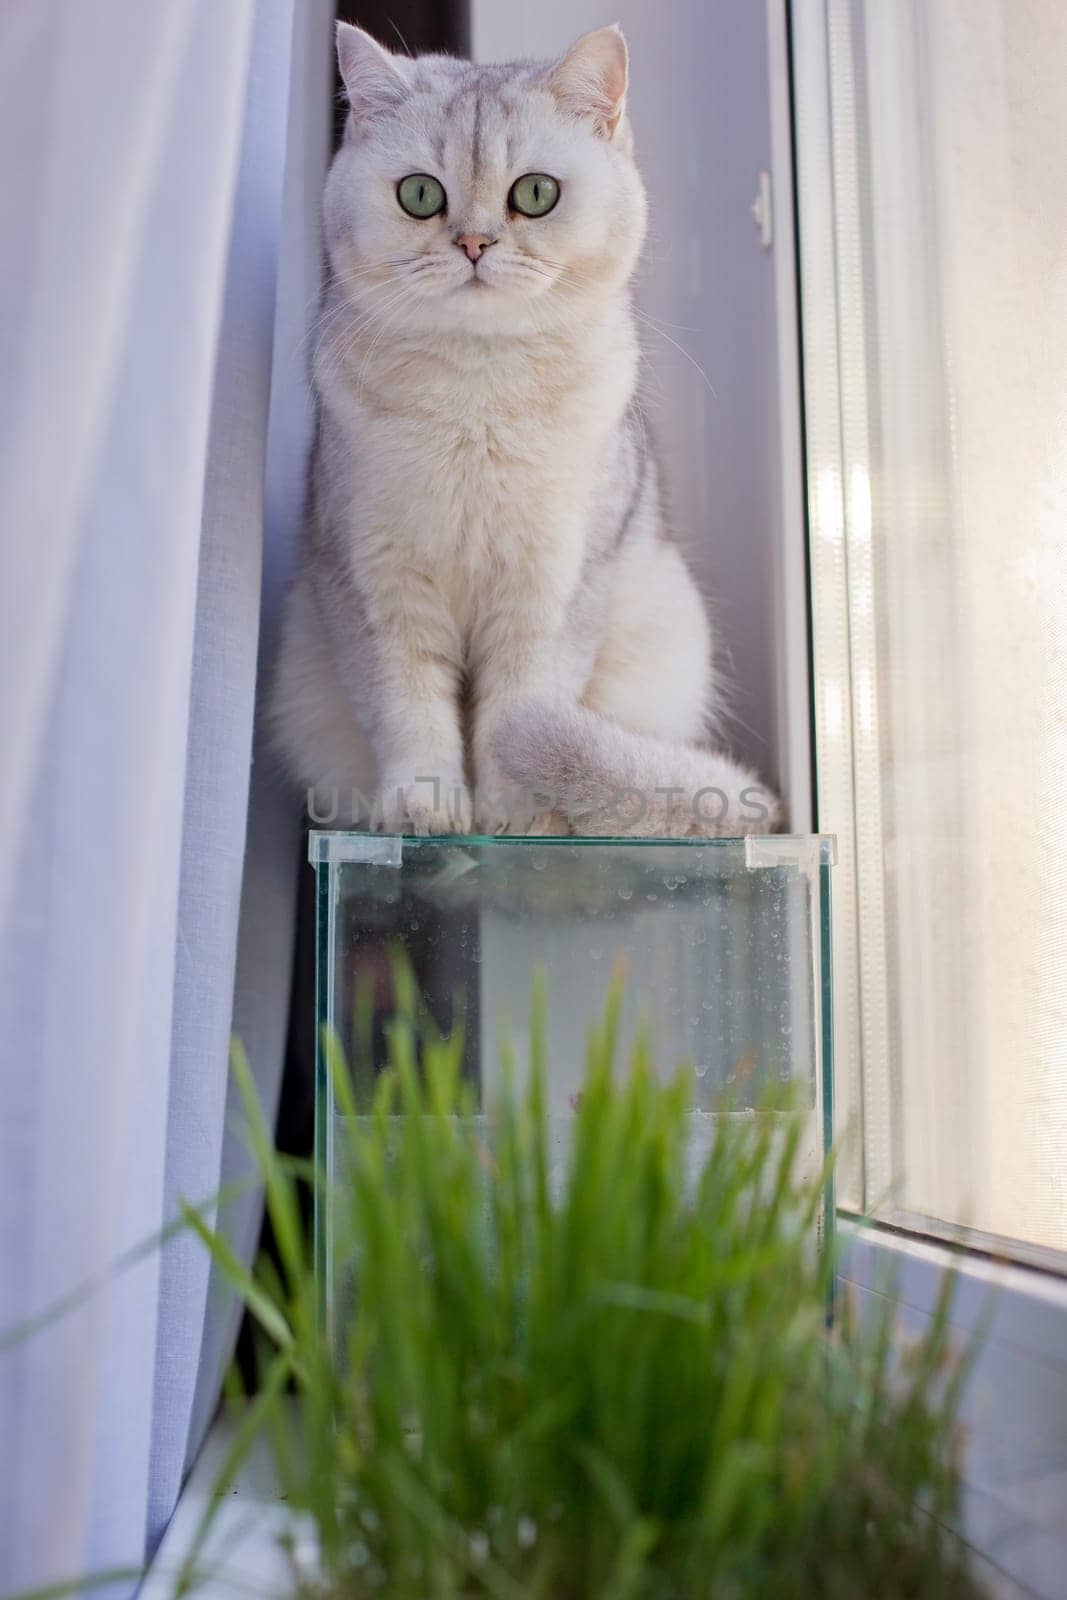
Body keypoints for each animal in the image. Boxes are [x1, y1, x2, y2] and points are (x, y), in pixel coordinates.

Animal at [271, 21, 780, 838]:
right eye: (420, 195)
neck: (477, 394)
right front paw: (425, 809)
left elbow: (518, 706)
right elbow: (409, 709)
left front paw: (514, 815)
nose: (474, 244)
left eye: (534, 195)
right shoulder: (376, 583)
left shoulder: (553, 586)